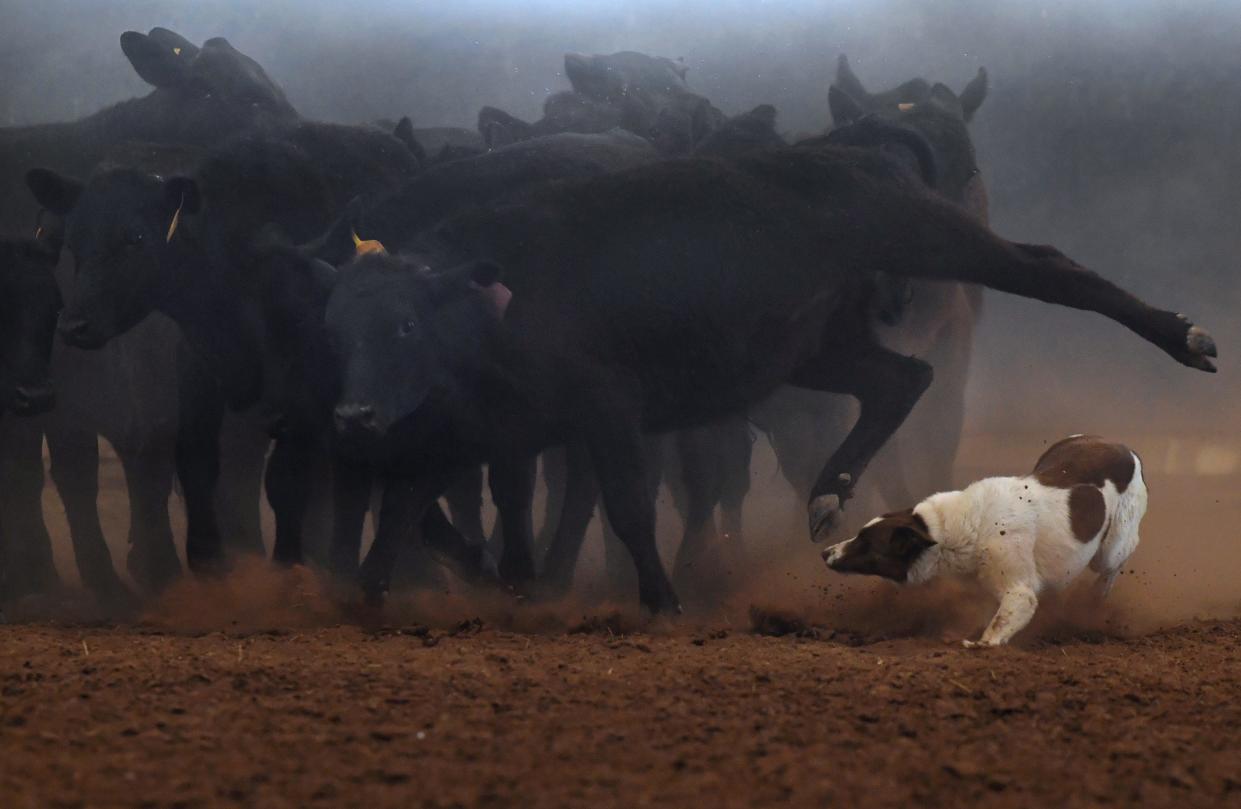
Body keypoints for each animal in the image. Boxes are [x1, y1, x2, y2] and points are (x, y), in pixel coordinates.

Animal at [322, 142, 1221, 615]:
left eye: (404, 324)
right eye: (339, 327)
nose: (355, 412)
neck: (500, 301)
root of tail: (855, 147)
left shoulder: (606, 408)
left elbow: (626, 505)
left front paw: (661, 599)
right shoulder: (472, 432)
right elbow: (407, 506)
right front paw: (365, 597)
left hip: (925, 234)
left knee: (1048, 268)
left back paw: (1186, 337)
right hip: (815, 344)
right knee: (901, 377)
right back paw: (829, 490)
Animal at [819, 431, 1146, 650]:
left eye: (866, 543)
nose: (825, 553)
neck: (957, 529)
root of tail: (1125, 448)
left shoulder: (1019, 592)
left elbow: (998, 626)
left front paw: (979, 645)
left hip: (1110, 549)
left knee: (1118, 559)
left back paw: (1096, 596)